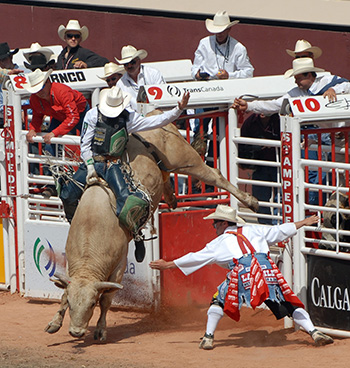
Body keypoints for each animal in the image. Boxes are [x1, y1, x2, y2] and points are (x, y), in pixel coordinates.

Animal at [45, 122, 260, 340]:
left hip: (185, 160)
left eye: (91, 304)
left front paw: (100, 330)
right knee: (166, 179)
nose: (76, 332)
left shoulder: (119, 266)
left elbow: (107, 299)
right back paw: (172, 199)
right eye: (72, 304)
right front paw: (54, 323)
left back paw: (250, 201)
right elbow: (64, 293)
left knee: (215, 175)